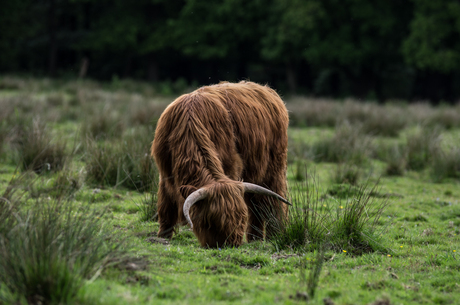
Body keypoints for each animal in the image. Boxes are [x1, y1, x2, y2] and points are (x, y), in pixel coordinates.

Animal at [151, 81, 290, 247]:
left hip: (274, 168)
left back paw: (274, 235)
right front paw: (162, 237)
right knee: (255, 204)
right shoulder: (165, 174)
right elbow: (165, 208)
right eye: (211, 222)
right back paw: (254, 238)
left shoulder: (231, 165)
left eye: (239, 219)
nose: (232, 244)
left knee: (273, 202)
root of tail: (268, 90)